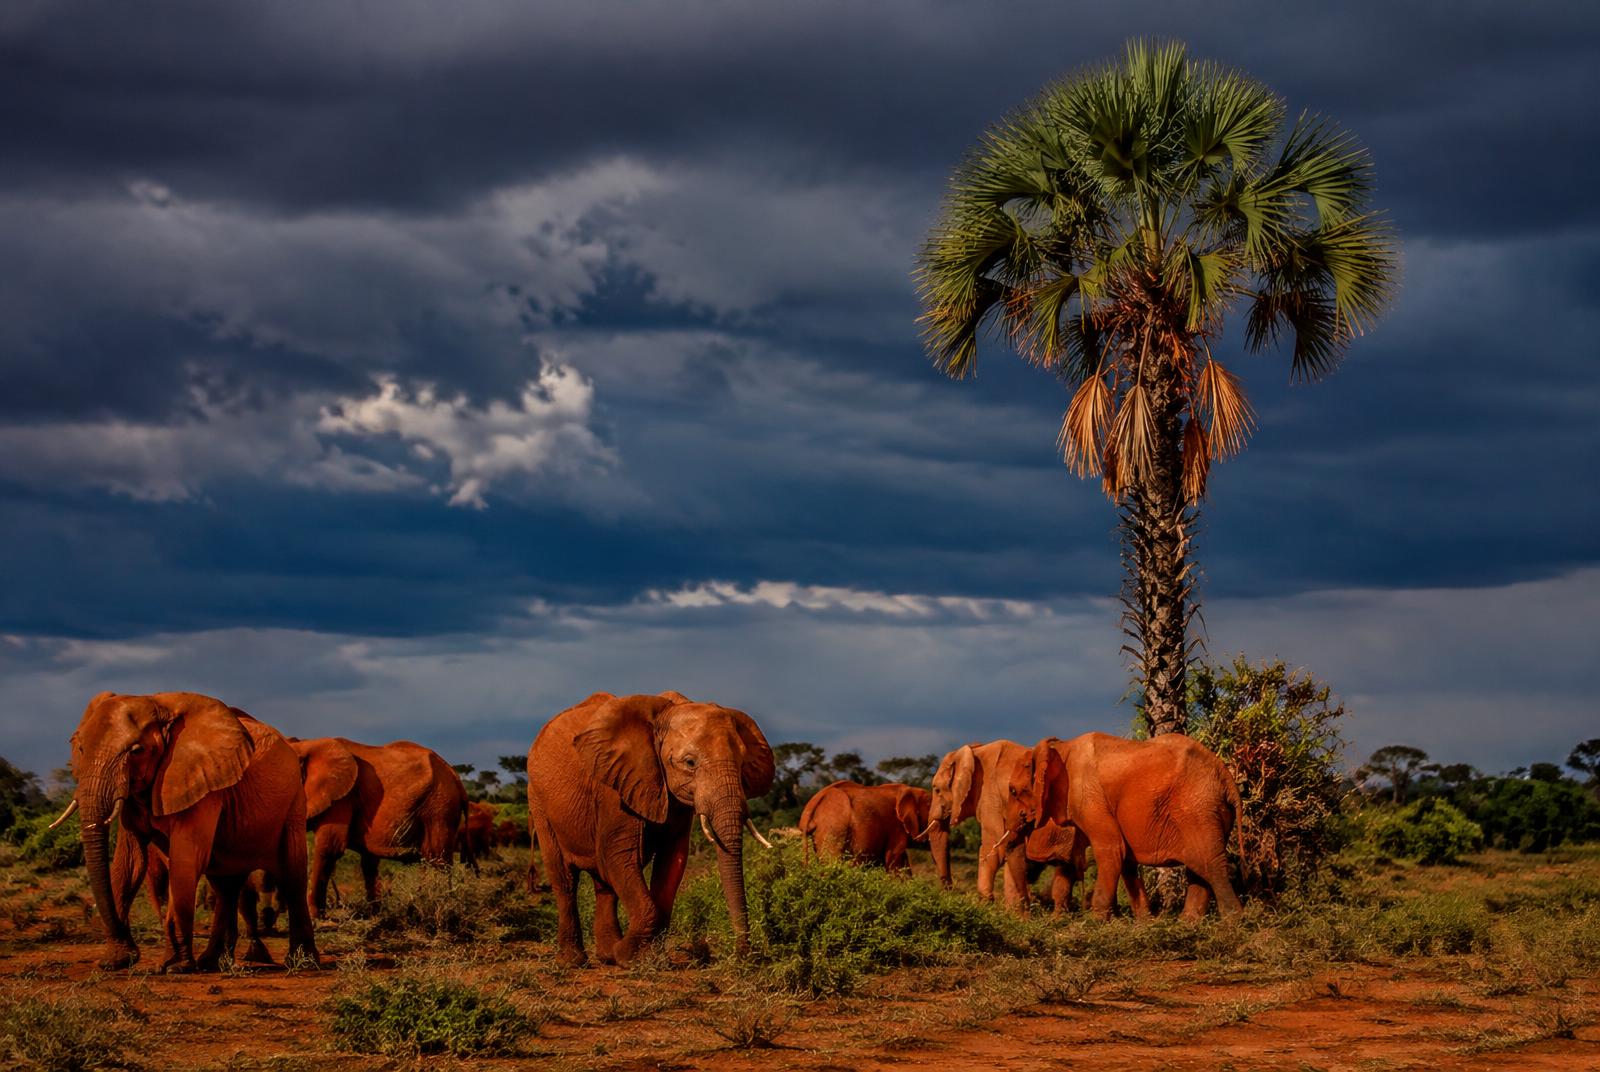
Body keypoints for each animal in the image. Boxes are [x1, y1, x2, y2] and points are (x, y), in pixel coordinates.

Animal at [57, 691, 318, 972]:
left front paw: (174, 966)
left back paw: (303, 962)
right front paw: (115, 960)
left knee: (291, 877)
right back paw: (211, 962)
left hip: (293, 804)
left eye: (137, 751)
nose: (133, 952)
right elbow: (128, 862)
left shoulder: (203, 783)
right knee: (226, 885)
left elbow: (184, 860)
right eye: (80, 749)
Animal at [291, 736, 472, 916]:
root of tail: (455, 776)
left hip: (439, 808)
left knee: (436, 861)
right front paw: (374, 914)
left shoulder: (342, 799)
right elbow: (368, 861)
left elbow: (329, 848)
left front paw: (315, 916)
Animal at [527, 690, 774, 966]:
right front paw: (629, 956)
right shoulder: (614, 788)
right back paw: (574, 961)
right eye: (690, 762)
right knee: (565, 878)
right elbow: (617, 856)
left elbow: (673, 859)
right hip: (538, 801)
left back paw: (607, 956)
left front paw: (648, 958)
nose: (744, 955)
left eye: (742, 764)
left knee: (605, 885)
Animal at [1018, 732, 1244, 920]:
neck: (1062, 747)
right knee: (1199, 868)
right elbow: (1125, 859)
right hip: (1208, 811)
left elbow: (1112, 850)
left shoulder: (1088, 797)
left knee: (1210, 863)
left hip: (1198, 808)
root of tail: (1226, 776)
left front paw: (1095, 924)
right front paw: (1145, 923)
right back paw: (1188, 924)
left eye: (1016, 791)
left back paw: (1233, 922)